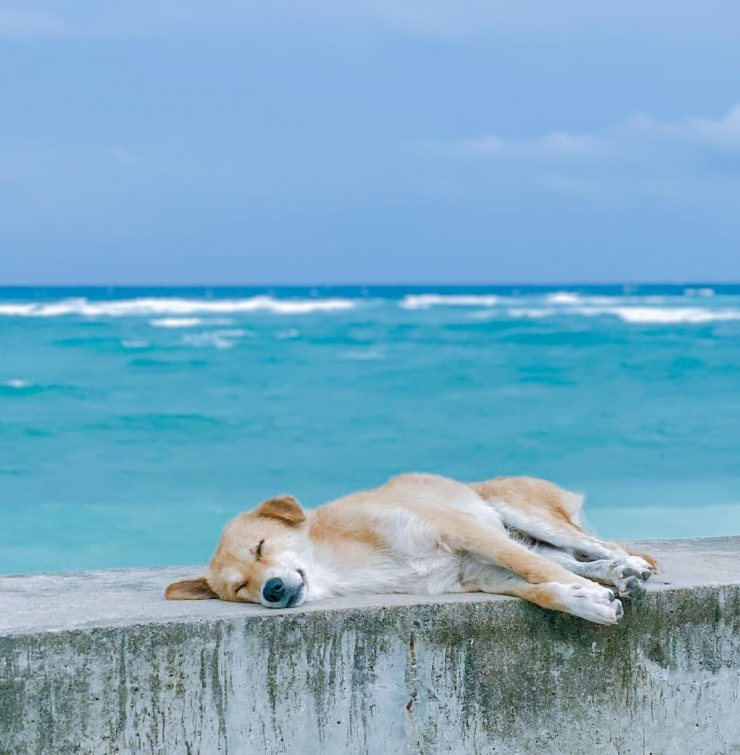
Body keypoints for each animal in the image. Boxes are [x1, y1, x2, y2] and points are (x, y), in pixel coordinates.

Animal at [165, 472, 656, 628]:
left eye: (260, 546)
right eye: (240, 588)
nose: (272, 589)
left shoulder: (464, 531)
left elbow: (534, 569)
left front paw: (591, 596)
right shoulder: (476, 577)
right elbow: (541, 589)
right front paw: (584, 600)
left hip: (523, 515)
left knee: (592, 546)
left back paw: (629, 565)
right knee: (568, 559)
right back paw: (616, 575)